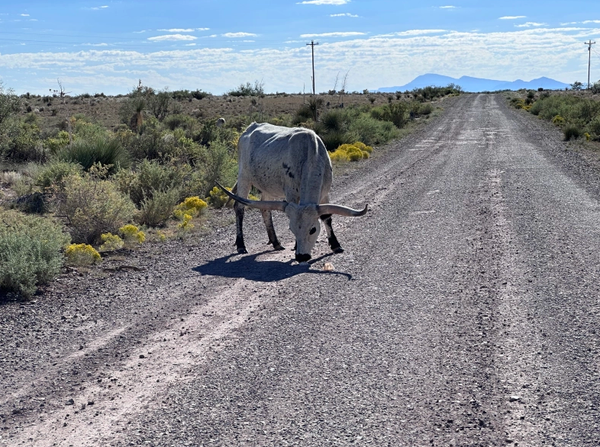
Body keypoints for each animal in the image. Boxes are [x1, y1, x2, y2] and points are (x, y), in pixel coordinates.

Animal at [216, 122, 366, 262]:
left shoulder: (324, 193)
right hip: (244, 178)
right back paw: (241, 245)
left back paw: (276, 243)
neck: (310, 155)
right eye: (292, 229)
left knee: (265, 209)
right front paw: (295, 246)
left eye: (313, 229)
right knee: (239, 208)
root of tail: (250, 127)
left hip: (267, 186)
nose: (302, 257)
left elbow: (326, 217)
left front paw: (336, 245)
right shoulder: (291, 194)